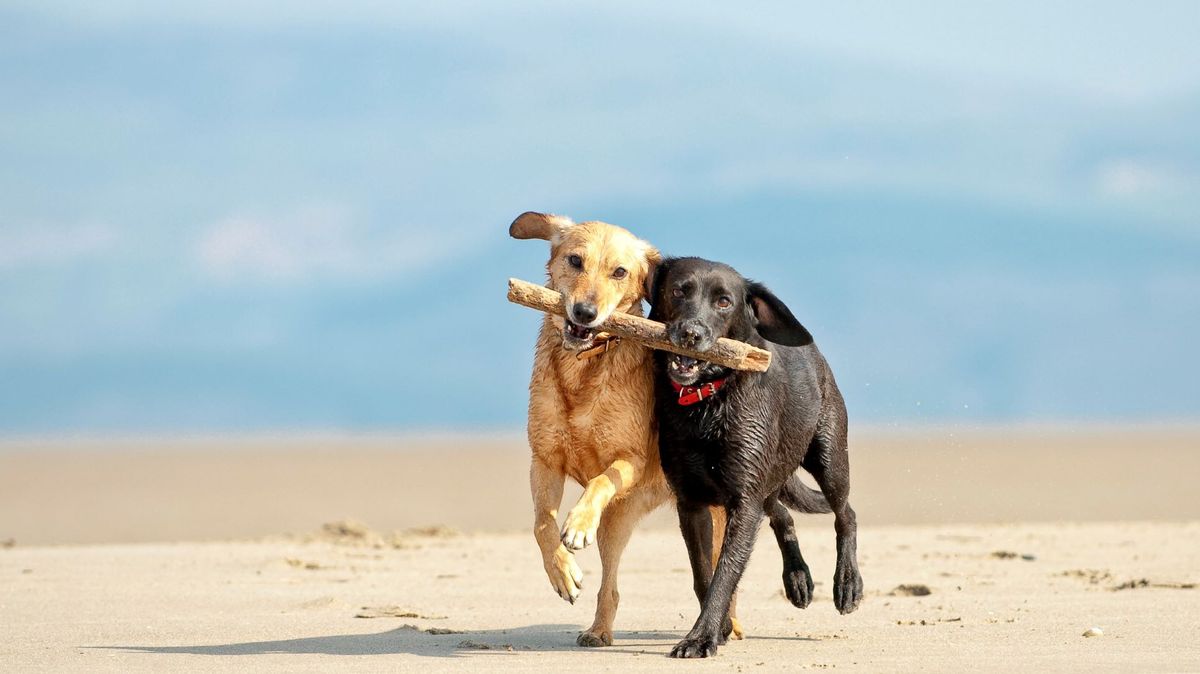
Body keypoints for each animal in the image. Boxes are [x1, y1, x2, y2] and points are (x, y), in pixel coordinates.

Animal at [506, 211, 739, 647]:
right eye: (575, 260)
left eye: (620, 272)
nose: (584, 312)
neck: (583, 368)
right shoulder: (544, 461)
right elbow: (542, 523)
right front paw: (563, 573)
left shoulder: (628, 460)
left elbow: (599, 481)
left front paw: (578, 524)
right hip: (618, 519)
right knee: (610, 585)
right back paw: (599, 630)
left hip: (710, 513)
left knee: (723, 568)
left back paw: (729, 624)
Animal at [648, 255, 864, 657]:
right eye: (678, 291)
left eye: (724, 302)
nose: (691, 334)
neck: (707, 403)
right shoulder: (692, 503)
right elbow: (704, 573)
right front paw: (714, 630)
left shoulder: (744, 500)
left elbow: (725, 572)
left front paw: (700, 638)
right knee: (782, 514)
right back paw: (798, 578)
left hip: (828, 456)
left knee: (846, 513)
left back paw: (847, 584)